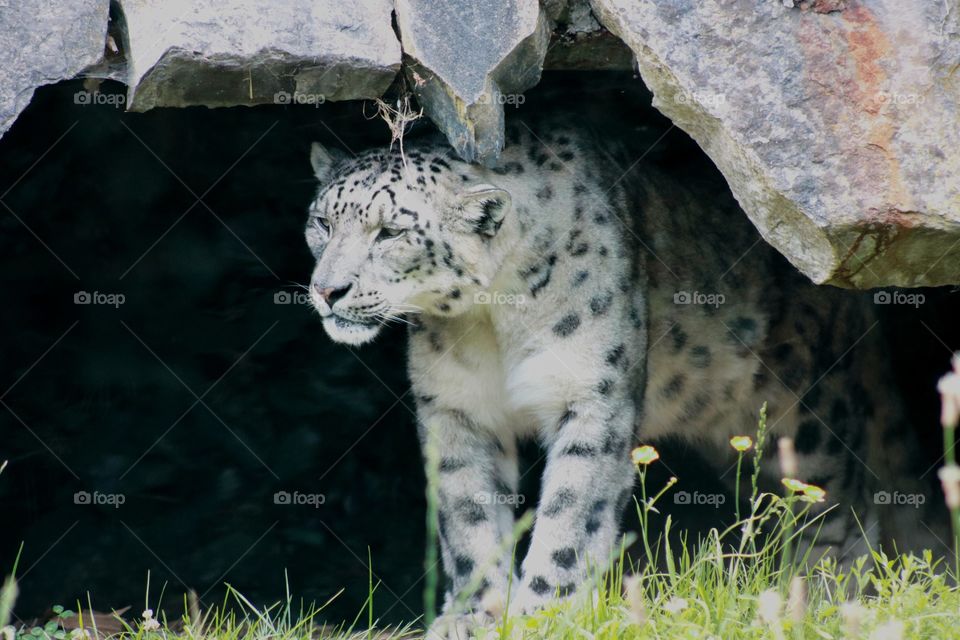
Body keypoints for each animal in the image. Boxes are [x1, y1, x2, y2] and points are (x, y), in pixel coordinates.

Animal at [303, 121, 939, 636]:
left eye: (390, 232)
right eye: (321, 221)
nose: (327, 289)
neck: (491, 320)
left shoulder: (591, 396)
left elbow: (569, 513)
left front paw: (541, 612)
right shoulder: (456, 411)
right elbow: (470, 519)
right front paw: (474, 615)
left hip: (805, 416)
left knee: (840, 506)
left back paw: (819, 600)